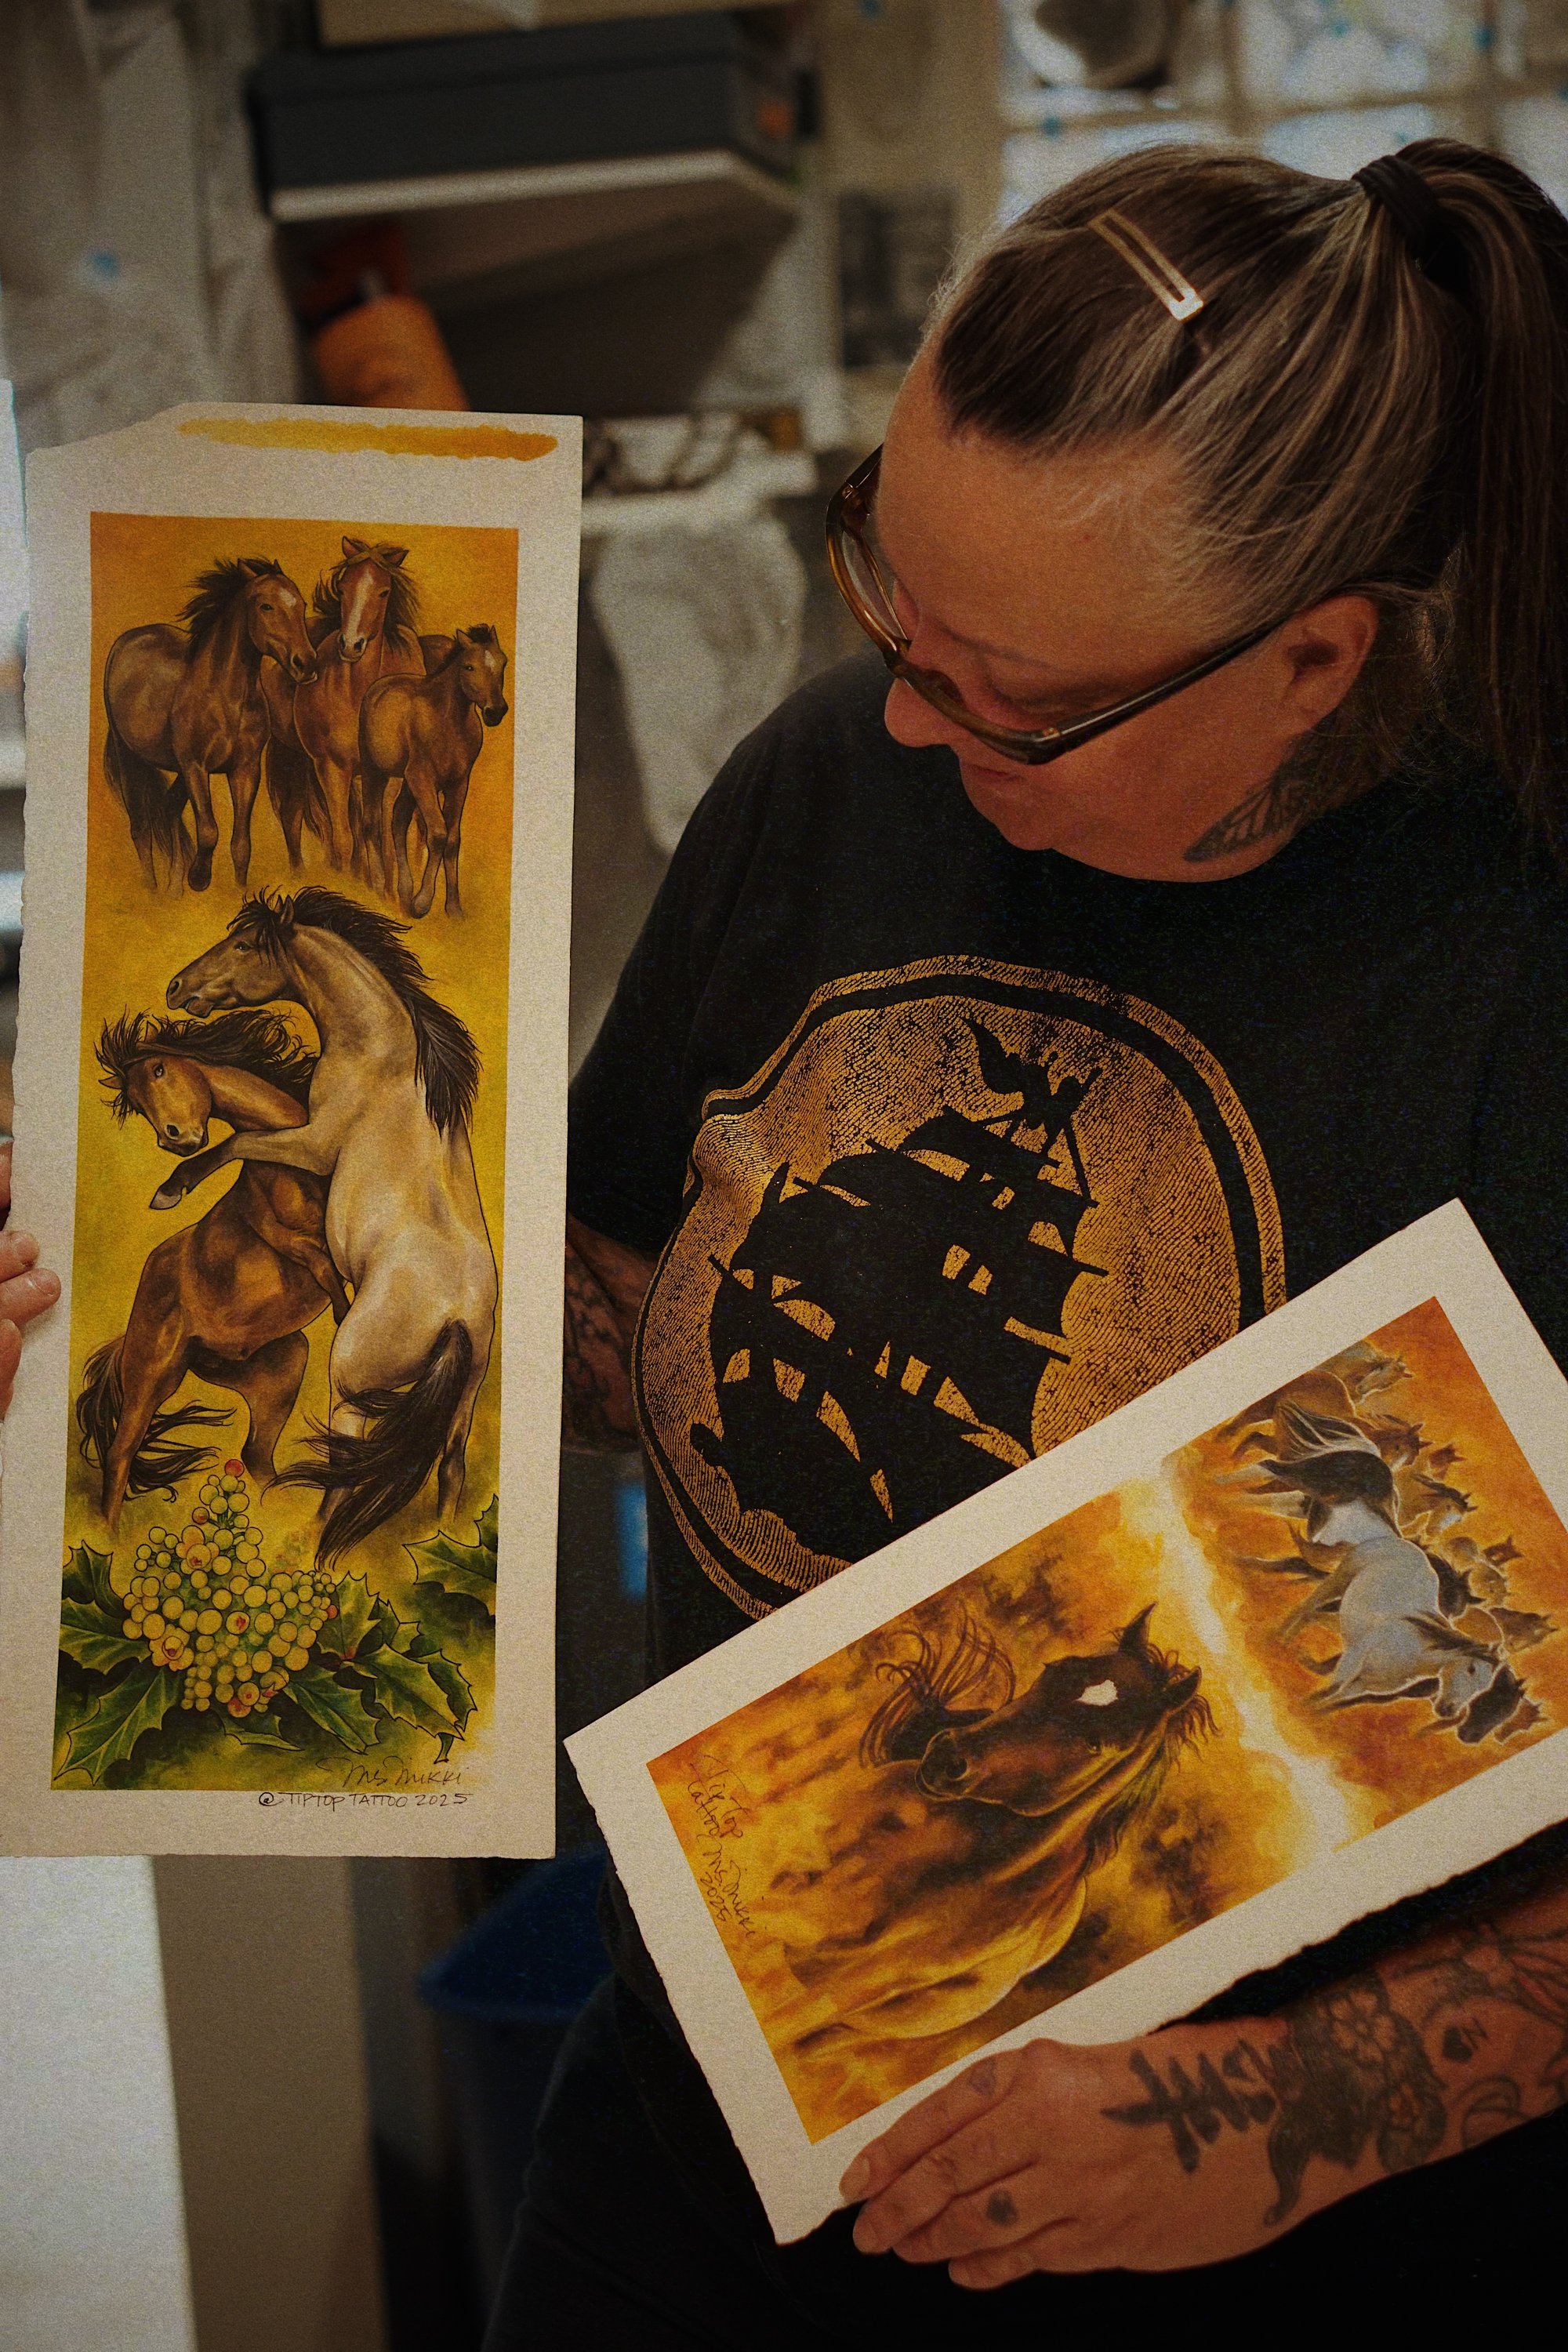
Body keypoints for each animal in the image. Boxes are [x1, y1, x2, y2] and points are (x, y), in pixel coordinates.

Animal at [78, 1010, 348, 1528]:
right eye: (136, 1102)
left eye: (160, 1069)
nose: (172, 1138)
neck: (298, 1166)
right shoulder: (294, 1243)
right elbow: (322, 1262)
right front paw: (171, 1189)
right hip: (151, 1378)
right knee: (120, 1456)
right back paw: (108, 1533)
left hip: (279, 1366)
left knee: (257, 1457)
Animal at [103, 557, 317, 892]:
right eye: (266, 606)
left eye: (302, 605)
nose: (306, 664)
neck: (225, 698)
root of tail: (129, 640)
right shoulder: (196, 767)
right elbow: (208, 830)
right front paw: (199, 877)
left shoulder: (244, 770)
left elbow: (241, 844)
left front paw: (237, 892)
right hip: (130, 758)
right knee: (140, 826)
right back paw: (153, 892)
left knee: (168, 810)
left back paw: (173, 890)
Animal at [155, 888, 496, 1563]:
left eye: (243, 945)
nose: (178, 986)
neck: (385, 1059)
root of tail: (456, 1317)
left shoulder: (312, 1145)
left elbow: (238, 1143)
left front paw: (173, 1186)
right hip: (465, 1399)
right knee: (450, 1468)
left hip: (350, 1392)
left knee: (343, 1474)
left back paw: (310, 1548)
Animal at [359, 625, 508, 917]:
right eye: (469, 666)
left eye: (503, 663)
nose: (495, 711)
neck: (448, 723)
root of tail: (378, 688)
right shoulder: (423, 779)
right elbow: (438, 834)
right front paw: (422, 902)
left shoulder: (458, 783)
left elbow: (452, 840)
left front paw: (454, 908)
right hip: (377, 773)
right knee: (372, 822)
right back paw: (381, 887)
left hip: (408, 784)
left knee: (397, 821)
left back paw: (404, 889)